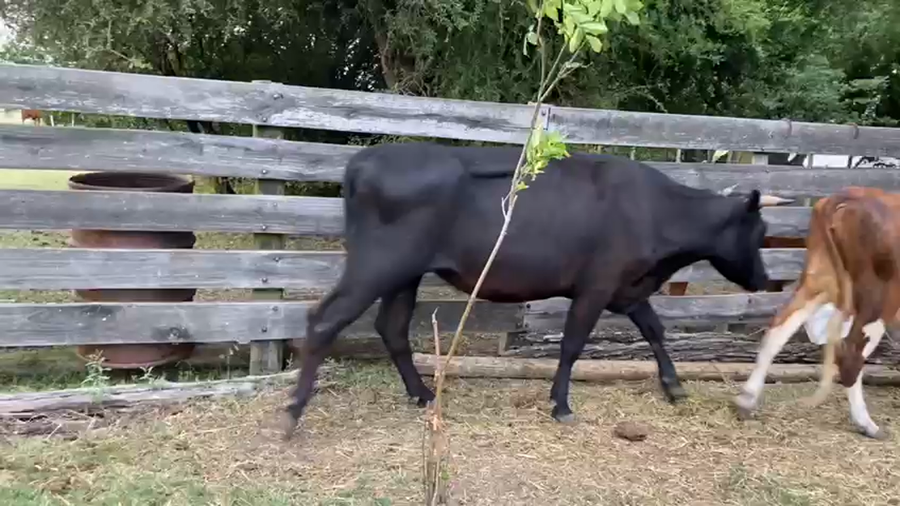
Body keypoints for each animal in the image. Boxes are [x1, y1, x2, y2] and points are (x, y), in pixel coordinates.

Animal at [281, 141, 789, 440]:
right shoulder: (596, 286)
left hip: (404, 274)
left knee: (392, 327)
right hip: (379, 264)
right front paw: (561, 404)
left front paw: (674, 386)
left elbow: (655, 329)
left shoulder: (627, 287)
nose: (763, 279)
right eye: (760, 231)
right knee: (325, 320)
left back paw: (423, 394)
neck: (657, 212)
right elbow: (572, 345)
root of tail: (364, 158)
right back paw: (292, 413)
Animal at [734, 186, 900, 439]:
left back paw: (746, 399)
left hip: (820, 279)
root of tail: (849, 196)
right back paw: (867, 424)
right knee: (851, 354)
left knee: (779, 326)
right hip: (879, 296)